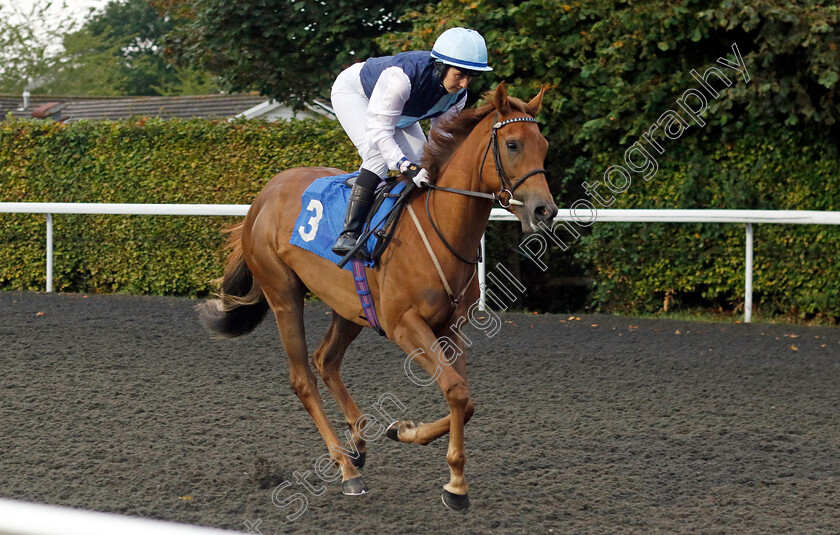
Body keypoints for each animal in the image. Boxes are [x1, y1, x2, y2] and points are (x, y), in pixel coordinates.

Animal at [199, 82, 556, 510]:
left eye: (545, 145)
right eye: (514, 144)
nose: (545, 210)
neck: (440, 228)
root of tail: (263, 196)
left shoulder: (452, 327)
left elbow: (464, 399)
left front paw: (407, 434)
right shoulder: (405, 325)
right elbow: (456, 390)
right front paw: (454, 484)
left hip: (350, 306)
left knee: (326, 360)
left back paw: (358, 442)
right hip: (283, 293)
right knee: (303, 379)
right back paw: (346, 468)